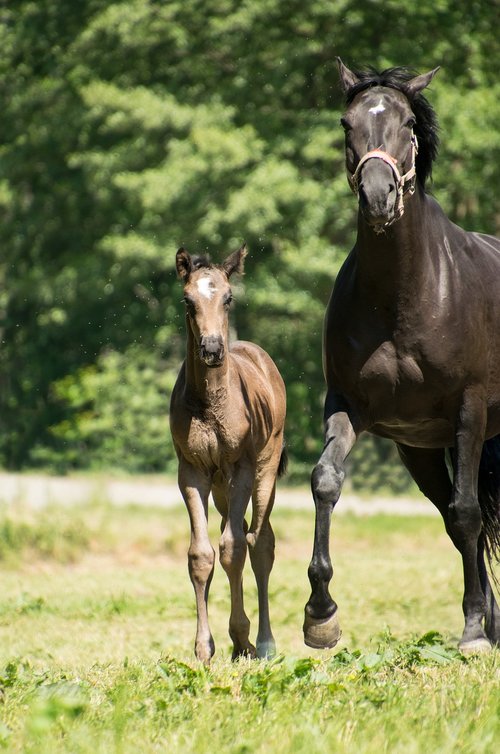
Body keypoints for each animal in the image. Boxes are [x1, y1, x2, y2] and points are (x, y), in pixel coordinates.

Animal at [169, 244, 286, 660]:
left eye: (229, 297)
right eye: (187, 300)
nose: (212, 349)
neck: (210, 402)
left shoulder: (242, 469)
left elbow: (234, 549)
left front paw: (242, 636)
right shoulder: (191, 472)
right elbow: (202, 554)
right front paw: (205, 648)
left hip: (265, 470)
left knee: (259, 542)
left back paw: (263, 642)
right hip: (219, 487)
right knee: (229, 533)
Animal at [302, 58, 500, 648]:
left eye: (409, 122)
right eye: (346, 123)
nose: (377, 195)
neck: (404, 295)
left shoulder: (469, 411)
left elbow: (466, 512)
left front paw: (473, 631)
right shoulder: (353, 407)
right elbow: (326, 480)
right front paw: (320, 614)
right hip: (421, 451)